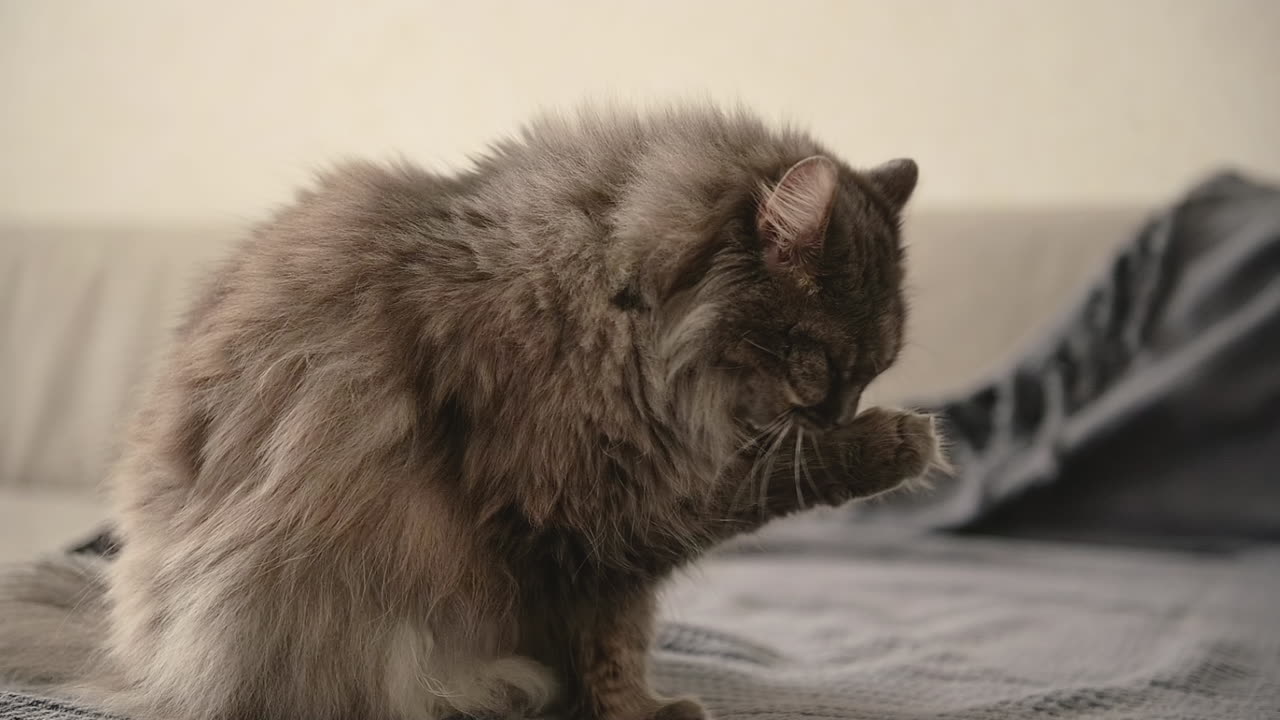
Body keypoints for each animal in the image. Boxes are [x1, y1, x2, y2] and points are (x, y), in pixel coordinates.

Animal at [0, 102, 942, 717]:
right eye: (819, 364)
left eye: (873, 369)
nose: (840, 413)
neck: (619, 297)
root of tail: (139, 664)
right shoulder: (596, 517)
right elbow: (619, 632)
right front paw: (906, 443)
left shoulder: (606, 533)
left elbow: (619, 642)